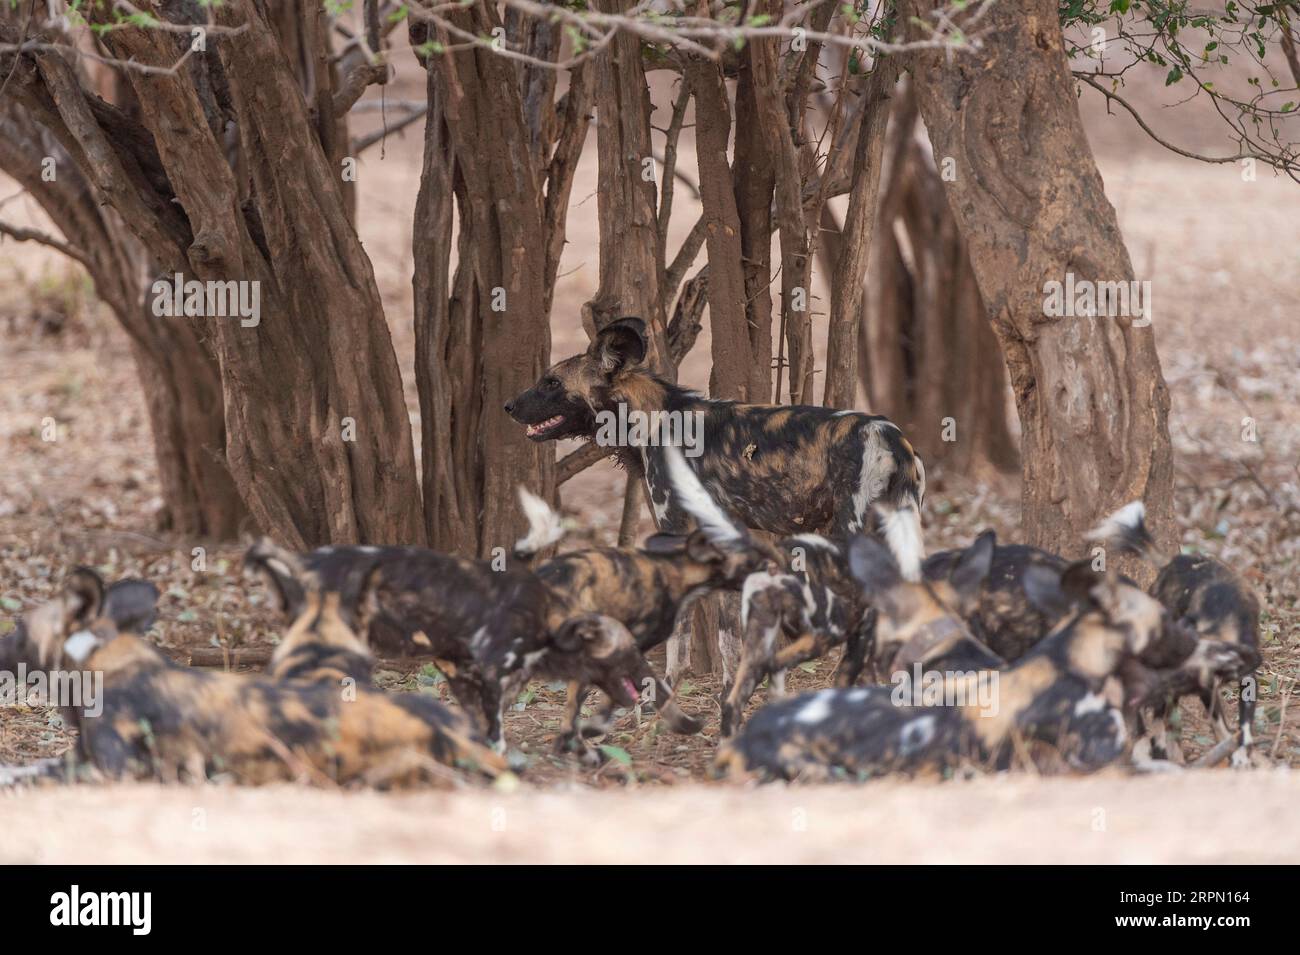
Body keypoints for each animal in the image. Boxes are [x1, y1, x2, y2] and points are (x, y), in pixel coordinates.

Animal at [504, 317, 925, 686]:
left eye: (552, 382)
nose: (508, 406)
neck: (651, 419)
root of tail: (890, 437)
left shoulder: (675, 532)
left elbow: (680, 635)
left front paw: (664, 695)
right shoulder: (722, 536)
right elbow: (728, 635)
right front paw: (731, 689)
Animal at [1081, 504, 1263, 764]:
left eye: (1178, 677)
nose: (1135, 694)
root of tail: (1174, 560)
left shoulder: (1242, 678)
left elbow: (1241, 726)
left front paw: (1239, 754)